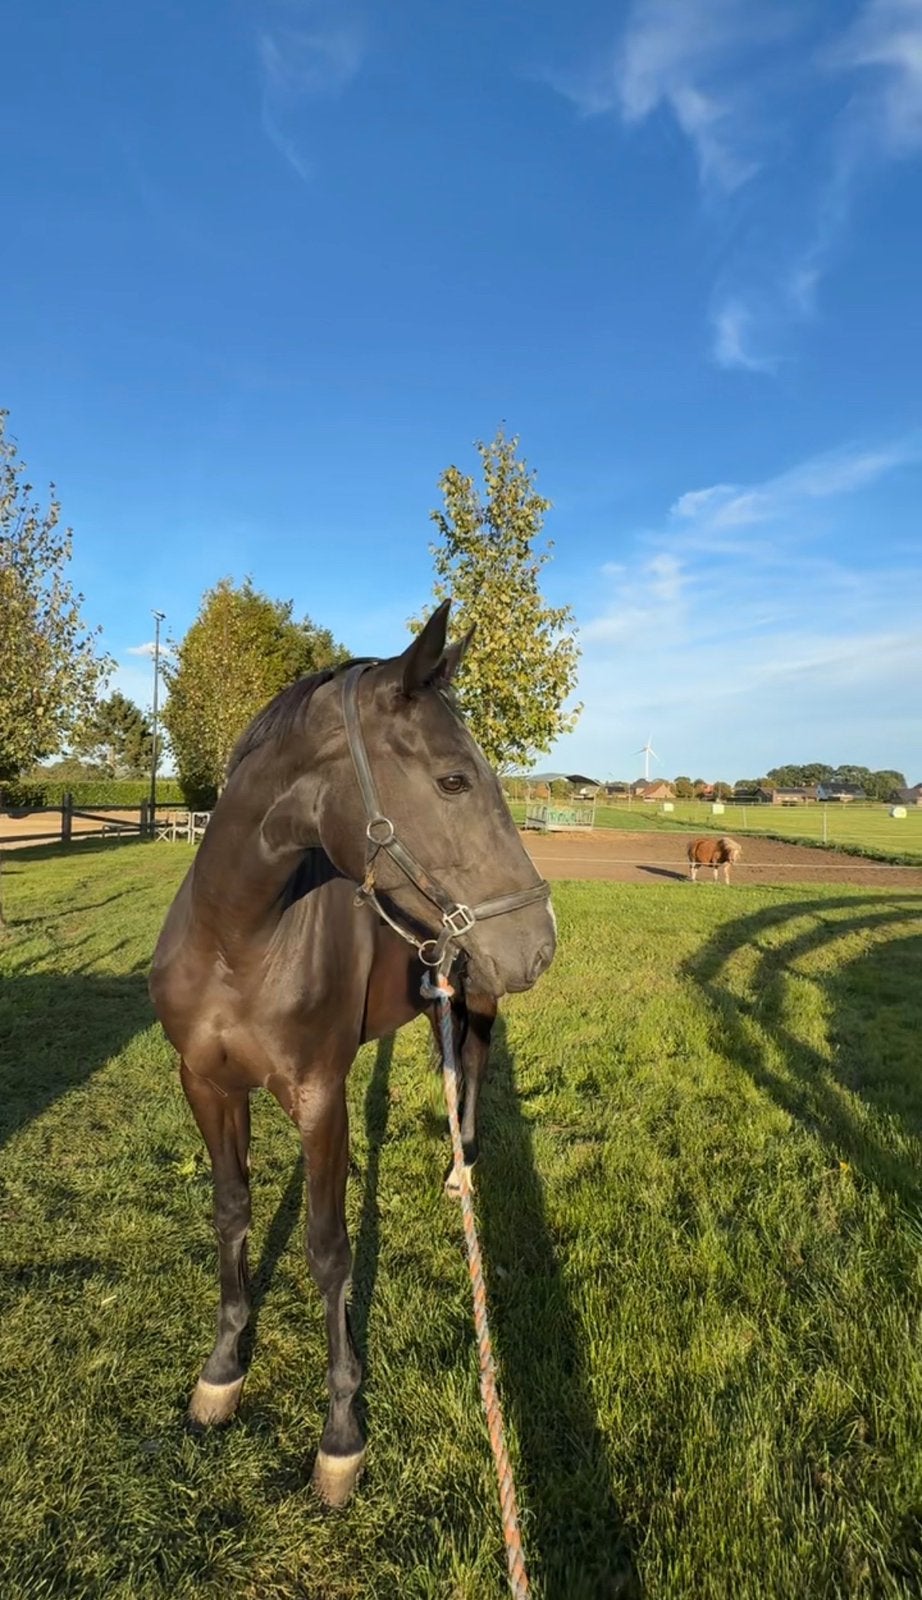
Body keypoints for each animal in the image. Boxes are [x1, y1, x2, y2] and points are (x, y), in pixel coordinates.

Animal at [149, 602, 556, 1506]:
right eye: (453, 779)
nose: (541, 942)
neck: (239, 941)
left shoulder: (318, 1099)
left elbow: (328, 1252)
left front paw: (340, 1434)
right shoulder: (206, 1085)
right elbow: (232, 1213)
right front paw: (222, 1370)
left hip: (476, 995)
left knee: (474, 1069)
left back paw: (460, 1172)